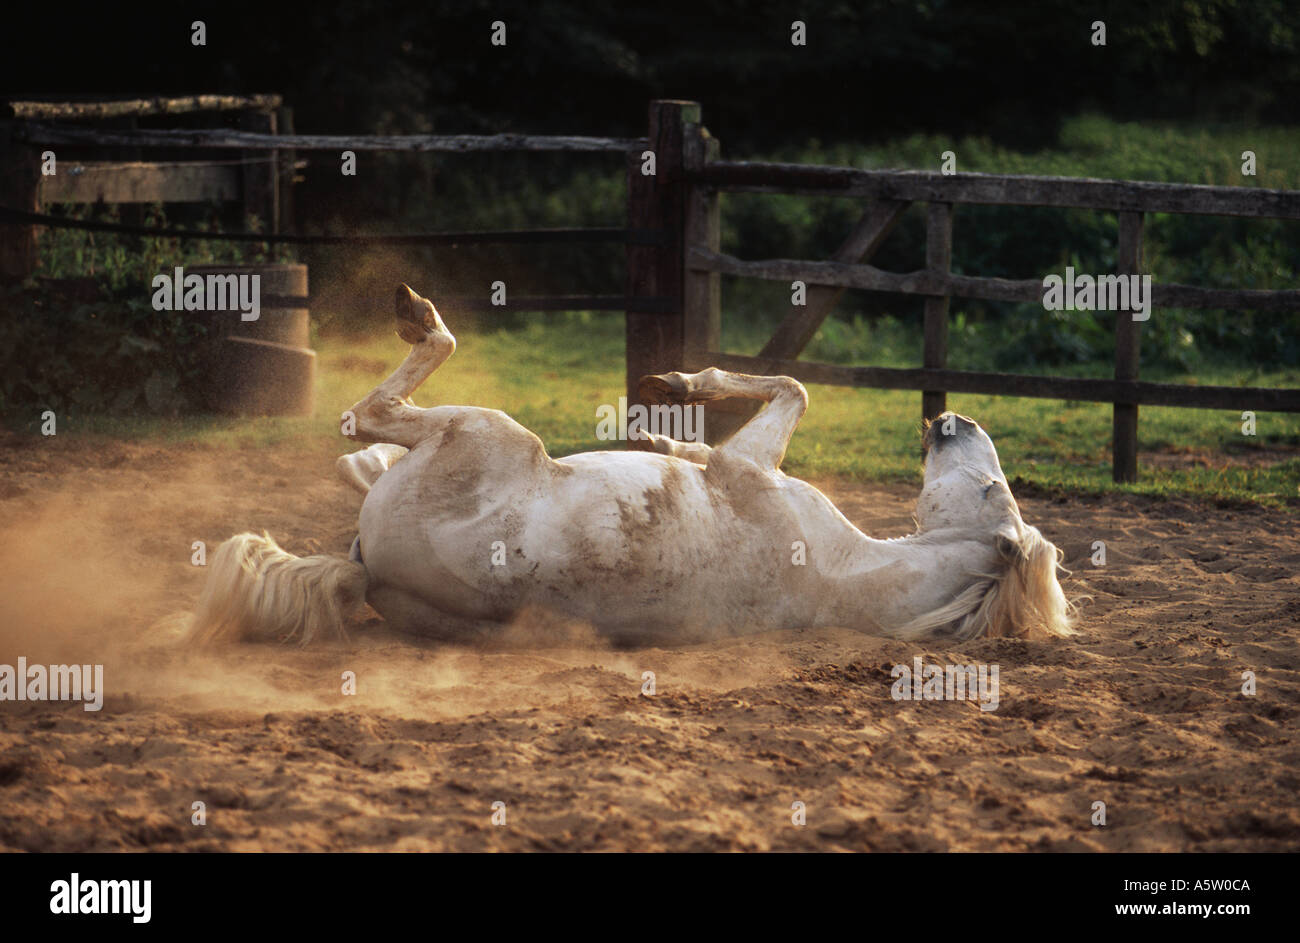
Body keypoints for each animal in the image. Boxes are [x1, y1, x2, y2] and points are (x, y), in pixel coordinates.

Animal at [185, 283, 1076, 642]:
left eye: (990, 486)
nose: (955, 419)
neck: (843, 568)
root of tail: (368, 568)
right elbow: (765, 402)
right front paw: (662, 424)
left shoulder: (750, 468)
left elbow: (788, 389)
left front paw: (672, 394)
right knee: (365, 438)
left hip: (485, 430)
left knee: (375, 410)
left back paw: (417, 317)